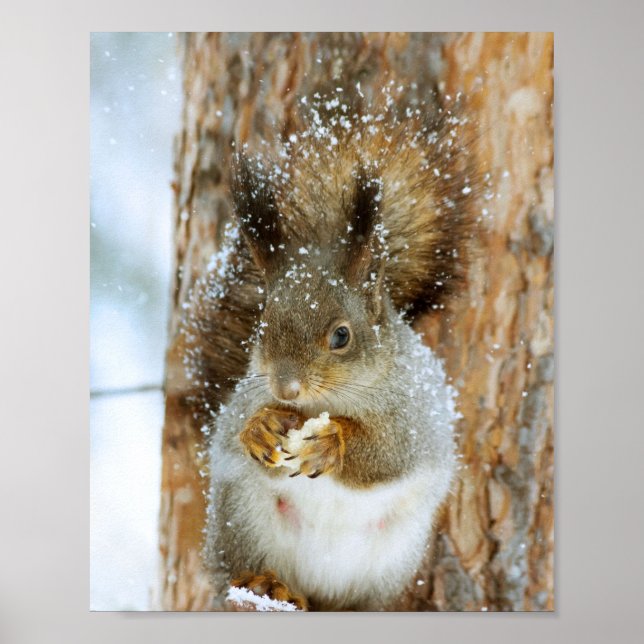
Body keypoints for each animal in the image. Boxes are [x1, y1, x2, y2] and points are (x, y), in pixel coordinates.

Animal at [188, 96, 479, 611]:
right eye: (262, 326)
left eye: (341, 336)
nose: (286, 388)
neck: (328, 402)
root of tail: (317, 590)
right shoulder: (243, 396)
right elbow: (233, 428)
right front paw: (259, 429)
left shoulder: (416, 417)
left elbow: (389, 453)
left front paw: (332, 442)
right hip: (240, 519)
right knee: (241, 571)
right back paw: (266, 584)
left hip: (390, 559)